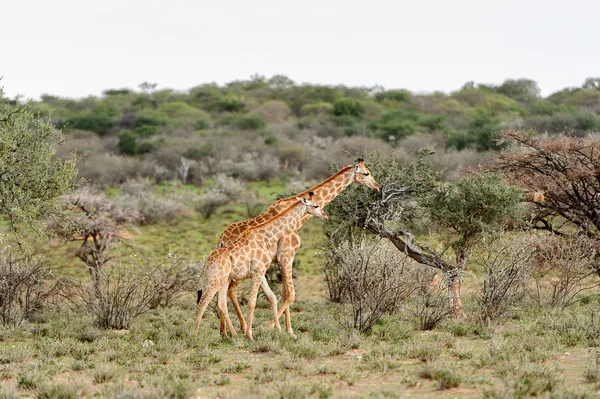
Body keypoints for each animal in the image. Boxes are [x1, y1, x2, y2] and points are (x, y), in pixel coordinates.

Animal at [193, 195, 328, 340]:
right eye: (315, 205)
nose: (325, 215)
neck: (267, 236)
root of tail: (206, 263)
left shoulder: (261, 271)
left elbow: (272, 296)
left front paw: (278, 330)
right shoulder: (257, 271)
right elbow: (252, 301)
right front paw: (250, 335)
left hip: (223, 280)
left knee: (221, 303)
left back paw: (232, 334)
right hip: (215, 280)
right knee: (203, 302)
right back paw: (194, 335)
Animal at [213, 159, 378, 338]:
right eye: (366, 173)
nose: (377, 187)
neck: (299, 219)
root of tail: (221, 240)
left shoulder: (281, 259)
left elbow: (284, 293)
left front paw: (286, 329)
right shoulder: (286, 256)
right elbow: (290, 295)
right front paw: (277, 329)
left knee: (226, 291)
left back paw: (226, 332)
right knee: (230, 290)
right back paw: (238, 330)